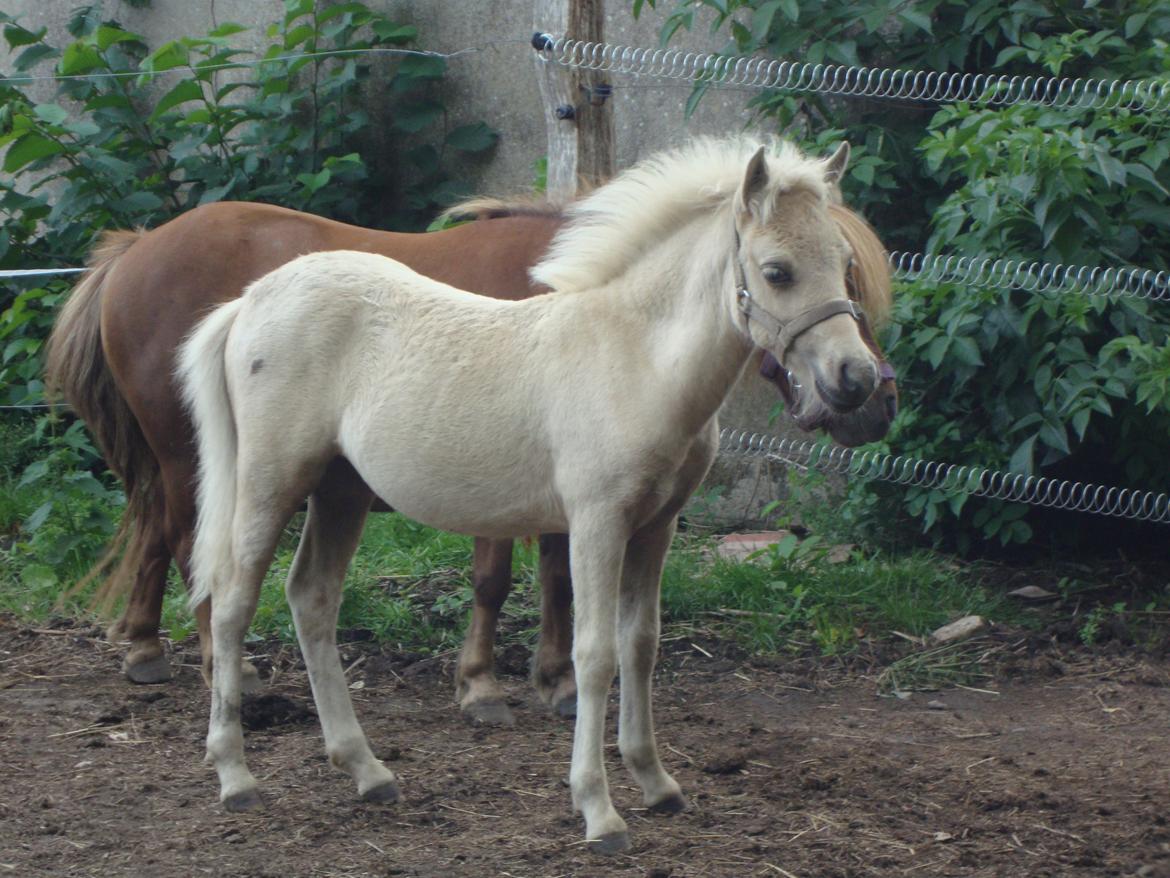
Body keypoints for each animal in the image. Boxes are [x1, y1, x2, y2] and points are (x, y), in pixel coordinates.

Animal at [45, 194, 898, 727]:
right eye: (781, 272)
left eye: (847, 272)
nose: (871, 394)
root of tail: (135, 251)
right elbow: (495, 581)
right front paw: (482, 685)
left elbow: (558, 580)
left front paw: (555, 681)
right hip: (199, 461)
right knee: (193, 547)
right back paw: (224, 671)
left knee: (158, 538)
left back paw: (146, 648)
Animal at [177, 137, 880, 851]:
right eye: (776, 271)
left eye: (846, 264)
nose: (856, 380)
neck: (635, 357)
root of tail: (250, 300)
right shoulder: (597, 522)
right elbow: (594, 654)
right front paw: (599, 810)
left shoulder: (656, 526)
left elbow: (641, 645)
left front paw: (656, 784)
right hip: (270, 480)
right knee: (232, 602)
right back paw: (235, 775)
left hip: (341, 490)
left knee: (312, 599)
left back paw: (366, 770)